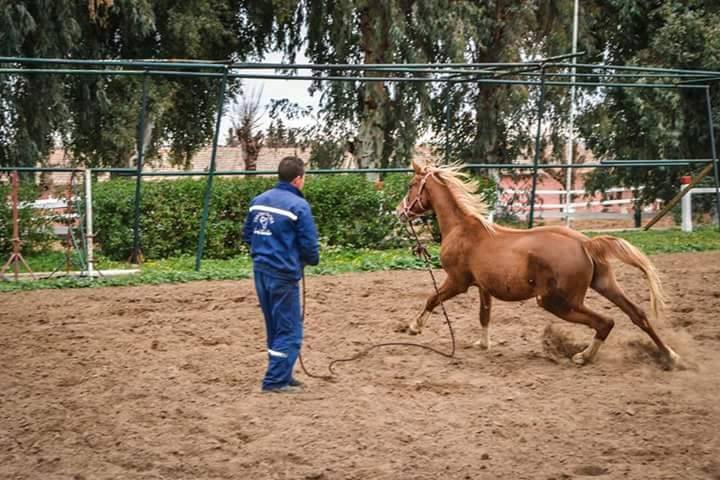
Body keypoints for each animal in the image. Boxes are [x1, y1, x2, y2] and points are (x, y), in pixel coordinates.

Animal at [396, 161, 676, 368]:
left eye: (411, 185)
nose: (399, 212)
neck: (462, 229)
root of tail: (586, 244)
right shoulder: (483, 287)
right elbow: (484, 315)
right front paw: (482, 344)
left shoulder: (457, 281)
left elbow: (432, 298)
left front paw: (413, 327)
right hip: (604, 284)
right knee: (637, 315)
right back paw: (671, 357)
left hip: (558, 302)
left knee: (605, 322)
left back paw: (582, 357)